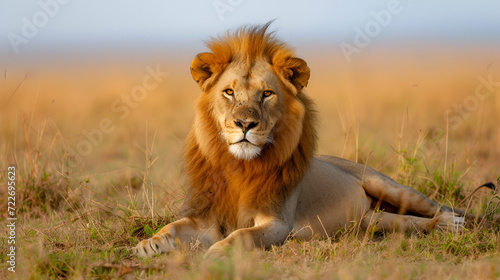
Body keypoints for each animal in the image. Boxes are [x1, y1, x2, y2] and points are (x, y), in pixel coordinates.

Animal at [134, 23, 468, 260]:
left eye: (266, 94)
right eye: (229, 92)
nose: (245, 124)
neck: (238, 166)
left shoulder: (278, 222)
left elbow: (243, 236)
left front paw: (219, 251)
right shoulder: (206, 219)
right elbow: (172, 228)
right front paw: (148, 245)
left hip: (390, 186)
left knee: (435, 207)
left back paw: (452, 223)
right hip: (372, 221)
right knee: (405, 223)